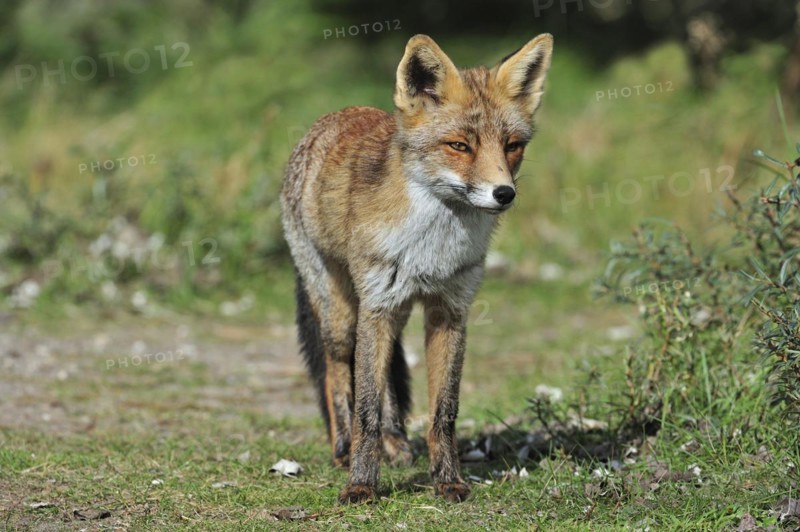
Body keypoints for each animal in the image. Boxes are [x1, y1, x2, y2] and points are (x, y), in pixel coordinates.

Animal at [280, 33, 553, 504]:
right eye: (460, 146)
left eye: (512, 146)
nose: (504, 193)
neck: (432, 249)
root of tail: (331, 118)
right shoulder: (377, 307)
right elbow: (365, 409)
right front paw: (361, 485)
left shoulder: (450, 310)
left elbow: (443, 412)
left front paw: (447, 480)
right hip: (343, 315)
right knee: (338, 372)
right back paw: (342, 449)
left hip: (393, 313)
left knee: (387, 380)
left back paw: (394, 445)